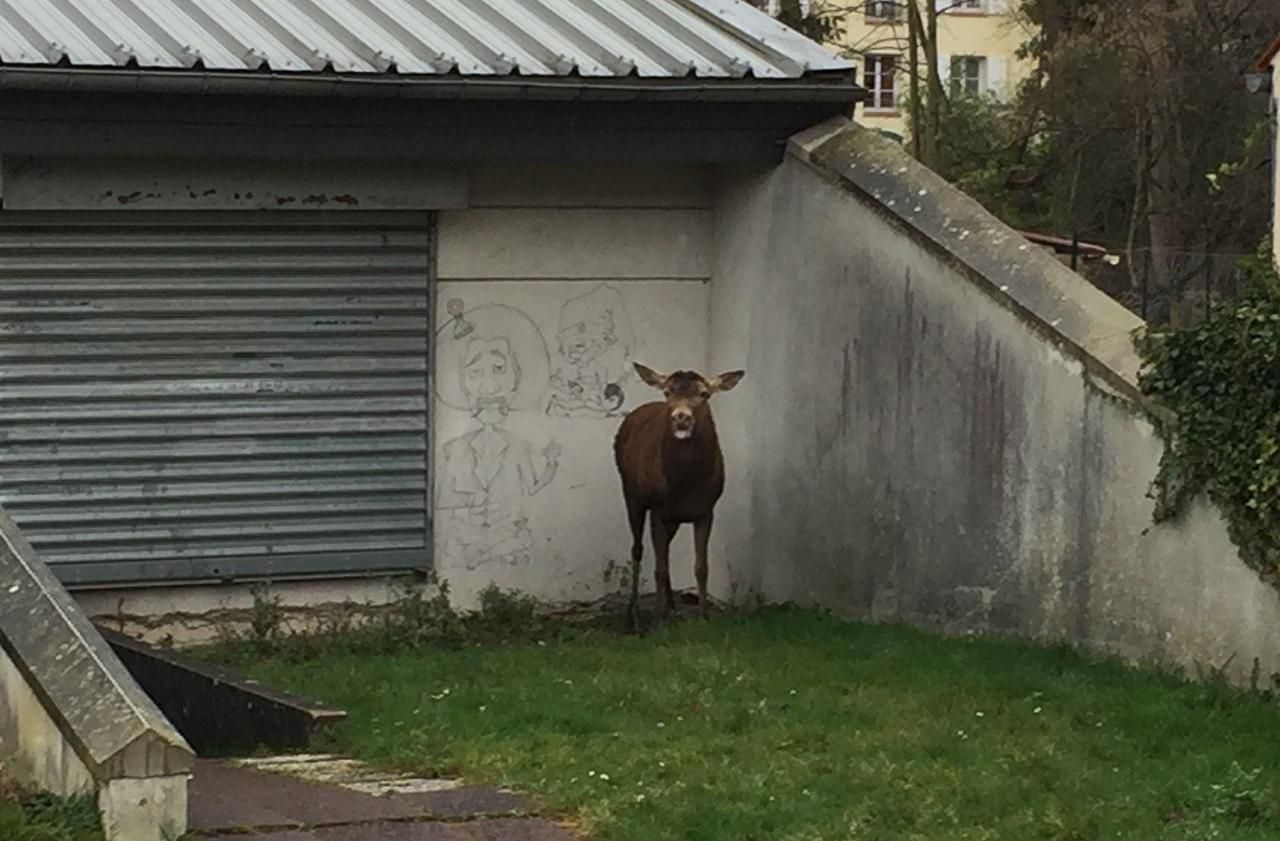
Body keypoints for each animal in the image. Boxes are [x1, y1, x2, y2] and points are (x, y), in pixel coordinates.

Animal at [614, 360, 747, 622]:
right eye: (667, 392)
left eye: (704, 393)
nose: (681, 418)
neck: (685, 484)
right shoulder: (658, 509)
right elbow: (659, 567)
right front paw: (657, 619)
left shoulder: (706, 510)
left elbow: (701, 567)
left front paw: (704, 617)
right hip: (632, 494)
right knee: (638, 549)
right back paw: (633, 615)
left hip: (673, 518)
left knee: (663, 549)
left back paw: (672, 607)